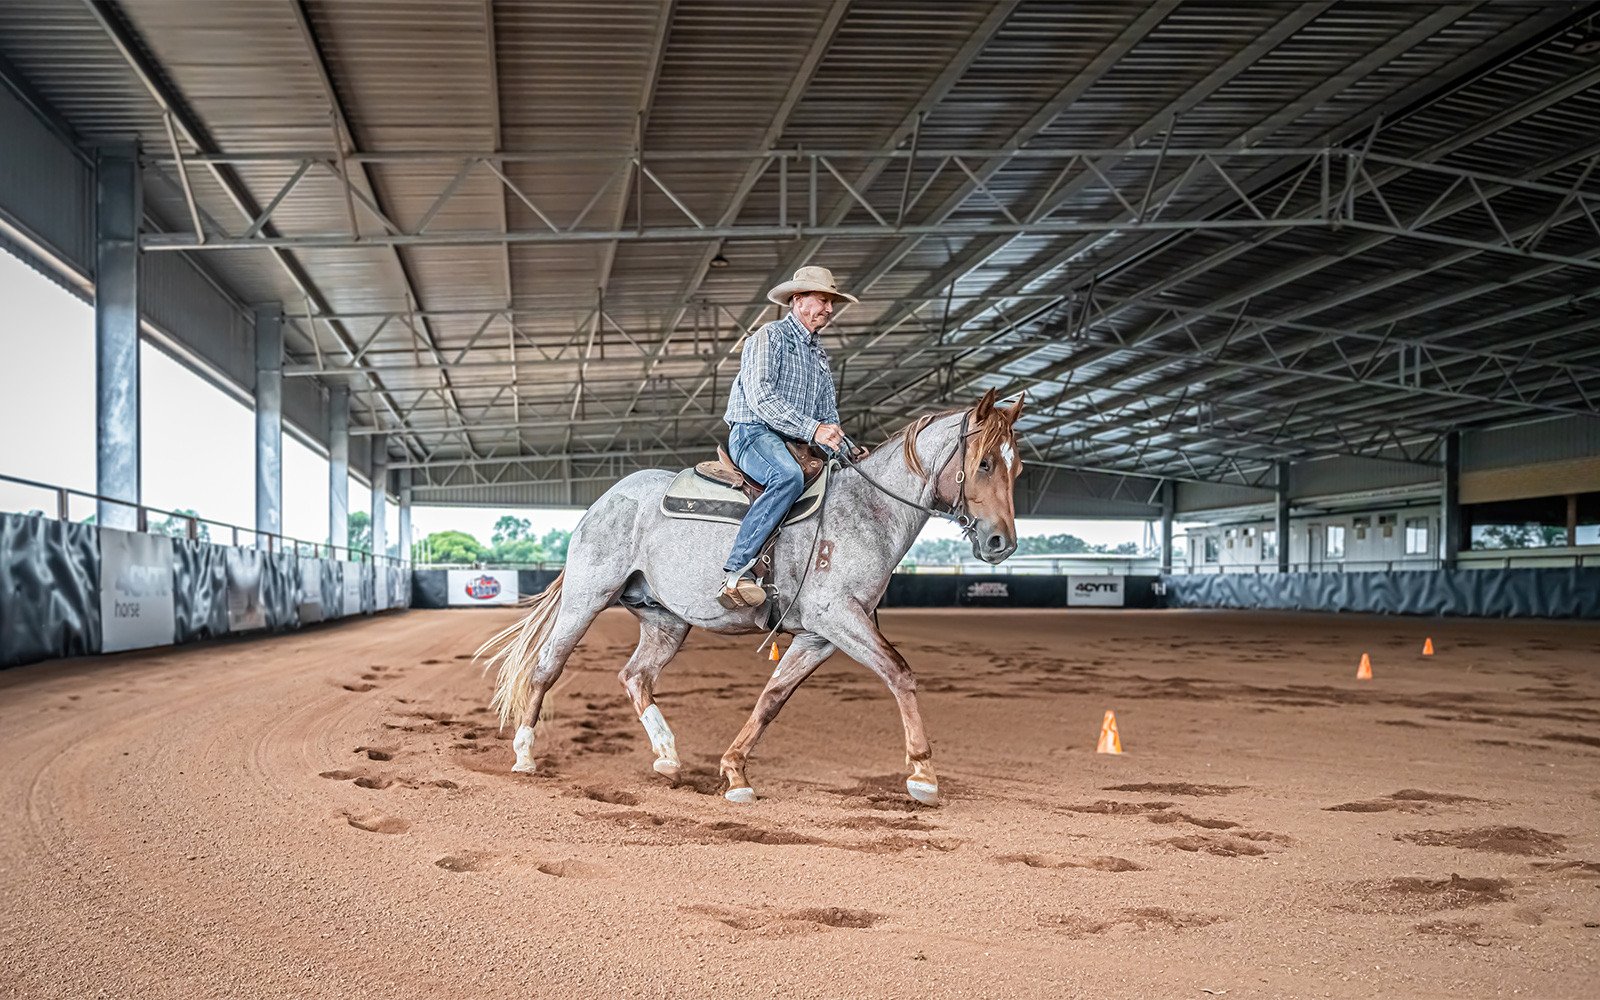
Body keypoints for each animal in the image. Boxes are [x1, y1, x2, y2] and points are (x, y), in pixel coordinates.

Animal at [476, 385, 1024, 806]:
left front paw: (735, 771)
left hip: (665, 619)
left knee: (635, 676)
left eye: (1016, 468)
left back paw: (668, 757)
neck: (867, 510)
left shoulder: (820, 635)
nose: (1002, 543)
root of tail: (604, 500)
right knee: (547, 667)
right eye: (984, 463)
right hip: (586, 597)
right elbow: (900, 674)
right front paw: (923, 775)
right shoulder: (839, 618)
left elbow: (772, 698)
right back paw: (524, 754)